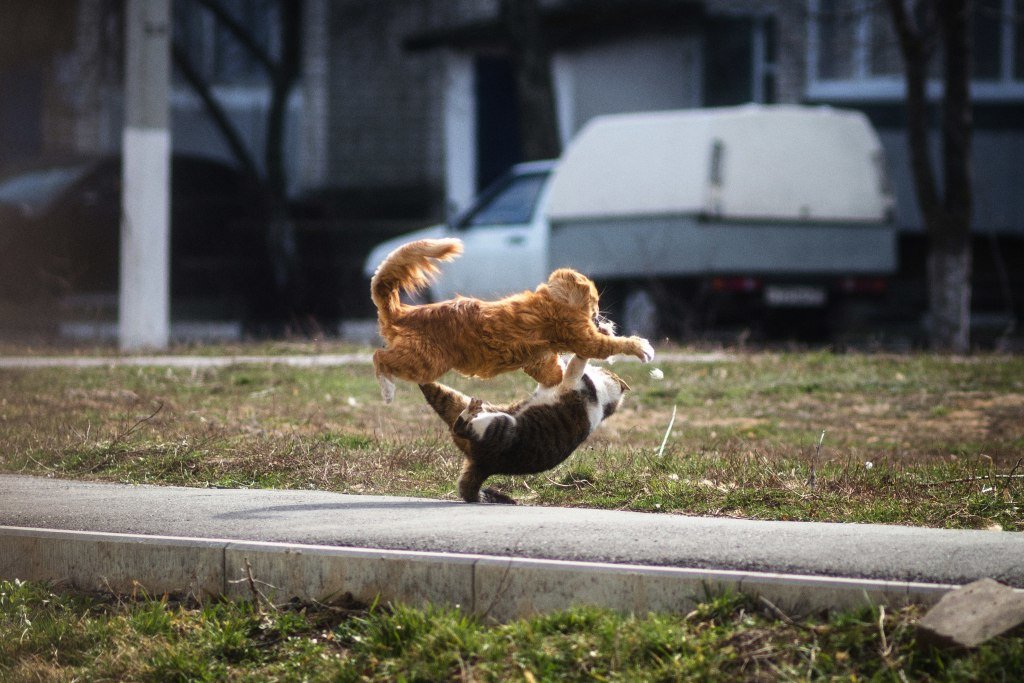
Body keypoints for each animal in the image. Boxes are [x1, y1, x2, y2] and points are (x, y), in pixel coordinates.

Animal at [372, 239, 651, 403]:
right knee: (379, 358)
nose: (600, 314)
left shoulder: (545, 366)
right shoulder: (584, 340)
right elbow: (614, 345)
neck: (550, 302)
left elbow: (568, 372)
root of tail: (403, 312)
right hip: (425, 363)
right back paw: (387, 392)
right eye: (597, 301)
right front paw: (642, 348)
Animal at [417, 356, 626, 505]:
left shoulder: (572, 383)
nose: (602, 368)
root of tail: (483, 465)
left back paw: (467, 414)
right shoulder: (551, 385)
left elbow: (577, 363)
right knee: (435, 392)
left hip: (500, 423)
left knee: (460, 427)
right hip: (465, 404)